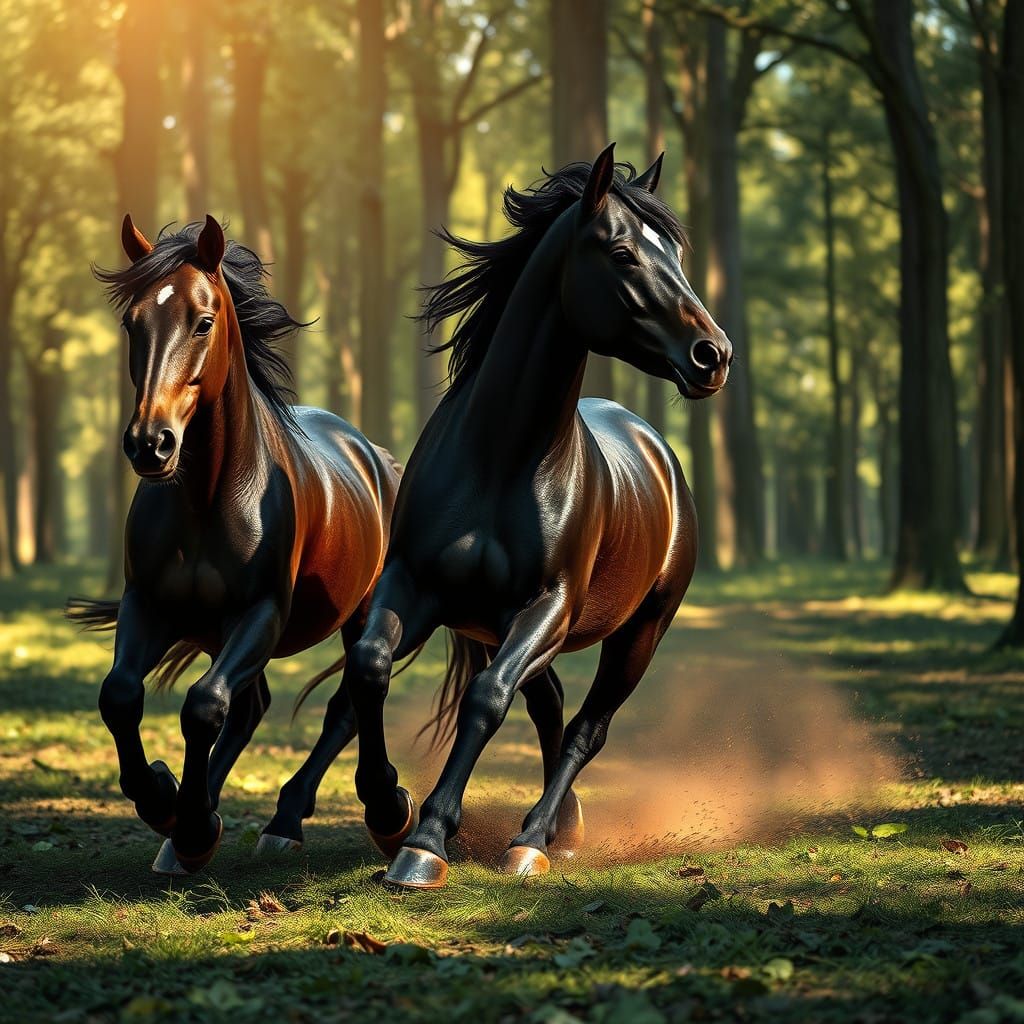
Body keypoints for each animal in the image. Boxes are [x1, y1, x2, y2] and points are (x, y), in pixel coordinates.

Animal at [68, 215, 414, 874]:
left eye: (203, 321)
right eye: (131, 323)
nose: (149, 443)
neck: (209, 498)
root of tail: (377, 458)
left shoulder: (260, 614)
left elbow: (203, 705)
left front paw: (191, 822)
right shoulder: (148, 605)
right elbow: (121, 696)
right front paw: (167, 803)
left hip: (358, 612)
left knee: (347, 703)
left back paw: (328, 817)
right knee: (253, 706)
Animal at [329, 144, 732, 890]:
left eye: (677, 253)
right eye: (623, 251)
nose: (712, 355)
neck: (500, 456)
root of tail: (656, 449)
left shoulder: (548, 605)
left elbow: (487, 699)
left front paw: (426, 840)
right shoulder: (417, 586)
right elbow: (369, 665)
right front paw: (387, 808)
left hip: (640, 631)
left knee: (586, 727)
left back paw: (535, 839)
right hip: (506, 625)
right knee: (550, 706)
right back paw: (558, 827)